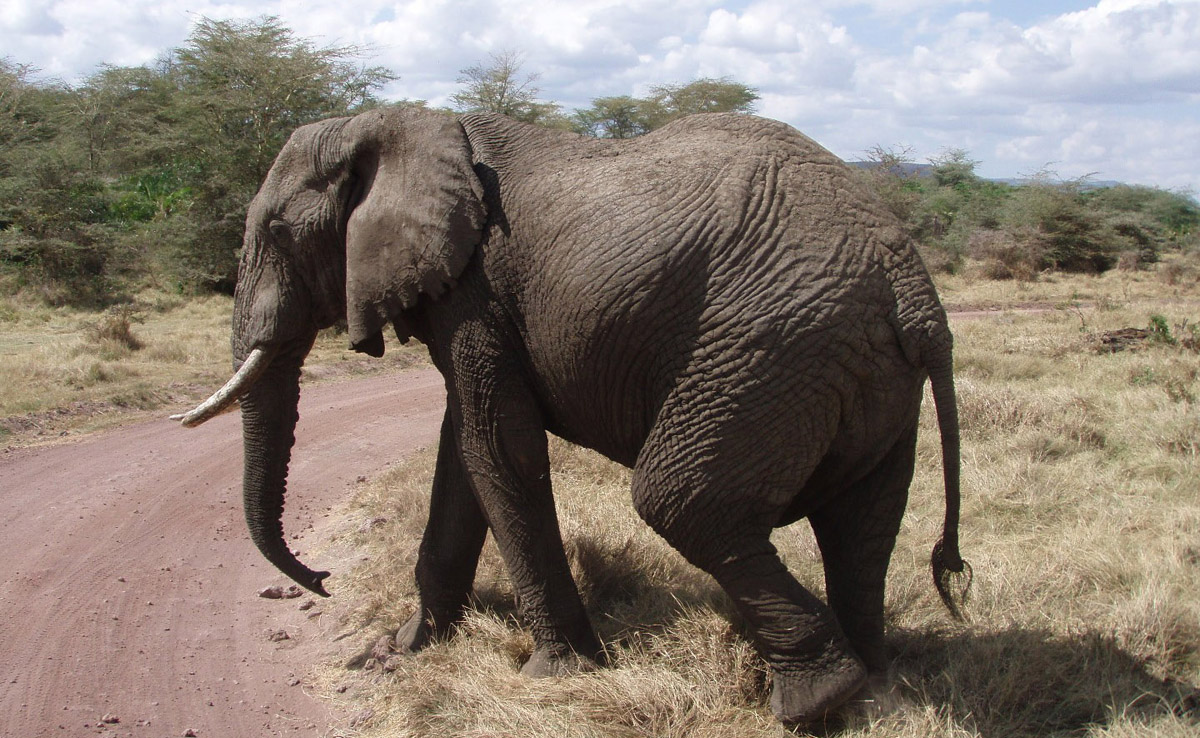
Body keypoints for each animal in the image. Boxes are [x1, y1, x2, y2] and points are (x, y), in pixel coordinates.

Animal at [173, 107, 970, 726]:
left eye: (279, 232)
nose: (320, 579)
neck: (395, 125)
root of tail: (913, 291)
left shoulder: (476, 287)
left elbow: (497, 447)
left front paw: (553, 677)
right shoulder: (469, 300)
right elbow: (462, 453)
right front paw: (412, 646)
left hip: (769, 353)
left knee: (681, 501)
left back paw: (814, 702)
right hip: (861, 378)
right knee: (860, 524)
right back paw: (873, 688)